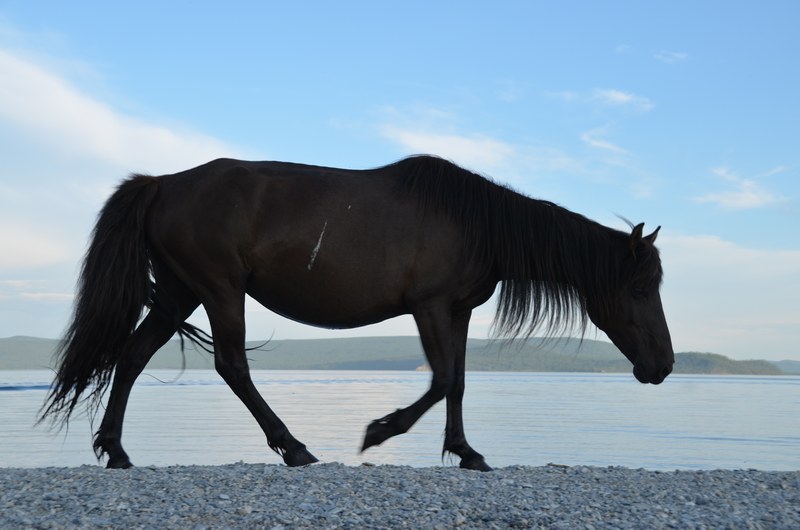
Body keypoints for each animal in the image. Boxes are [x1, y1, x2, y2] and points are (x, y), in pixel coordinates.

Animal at [40, 155, 672, 468]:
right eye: (641, 289)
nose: (663, 366)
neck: (474, 222)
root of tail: (163, 183)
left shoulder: (457, 312)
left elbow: (459, 382)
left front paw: (466, 452)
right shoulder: (429, 308)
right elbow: (441, 380)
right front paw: (380, 431)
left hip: (179, 293)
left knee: (131, 357)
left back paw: (116, 451)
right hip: (218, 289)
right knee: (232, 367)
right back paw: (294, 448)